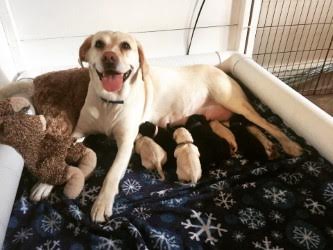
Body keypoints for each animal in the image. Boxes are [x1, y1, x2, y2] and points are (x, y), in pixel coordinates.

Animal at [33, 30, 300, 222]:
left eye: (126, 46)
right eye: (99, 44)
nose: (109, 57)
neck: (109, 102)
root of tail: (222, 69)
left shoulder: (126, 142)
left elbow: (111, 174)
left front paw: (102, 203)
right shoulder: (78, 132)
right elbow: (61, 153)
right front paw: (45, 184)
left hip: (233, 101)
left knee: (267, 123)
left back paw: (289, 145)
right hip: (222, 118)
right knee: (251, 127)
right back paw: (269, 146)